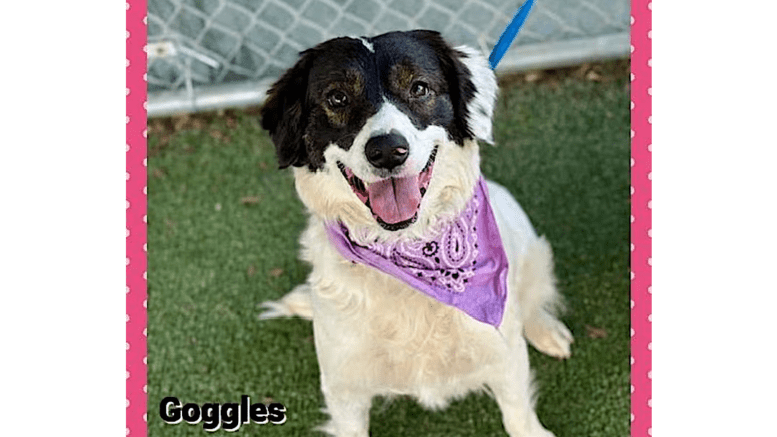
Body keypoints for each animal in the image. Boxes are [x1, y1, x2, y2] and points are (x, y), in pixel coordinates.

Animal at [258, 29, 572, 434]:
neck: (407, 246)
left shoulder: (503, 351)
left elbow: (519, 416)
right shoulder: (344, 387)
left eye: (419, 88)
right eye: (337, 97)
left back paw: (547, 330)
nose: (387, 150)